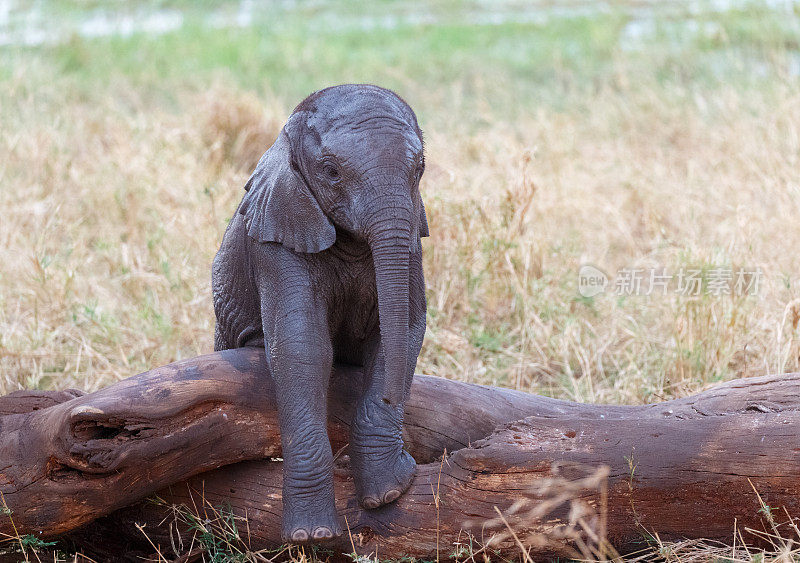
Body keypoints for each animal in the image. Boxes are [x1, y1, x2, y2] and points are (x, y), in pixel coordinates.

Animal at [209, 82, 428, 540]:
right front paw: (312, 536)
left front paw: (388, 492)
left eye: (419, 169)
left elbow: (401, 328)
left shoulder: (413, 233)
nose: (391, 396)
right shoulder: (276, 239)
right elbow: (302, 348)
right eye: (330, 172)